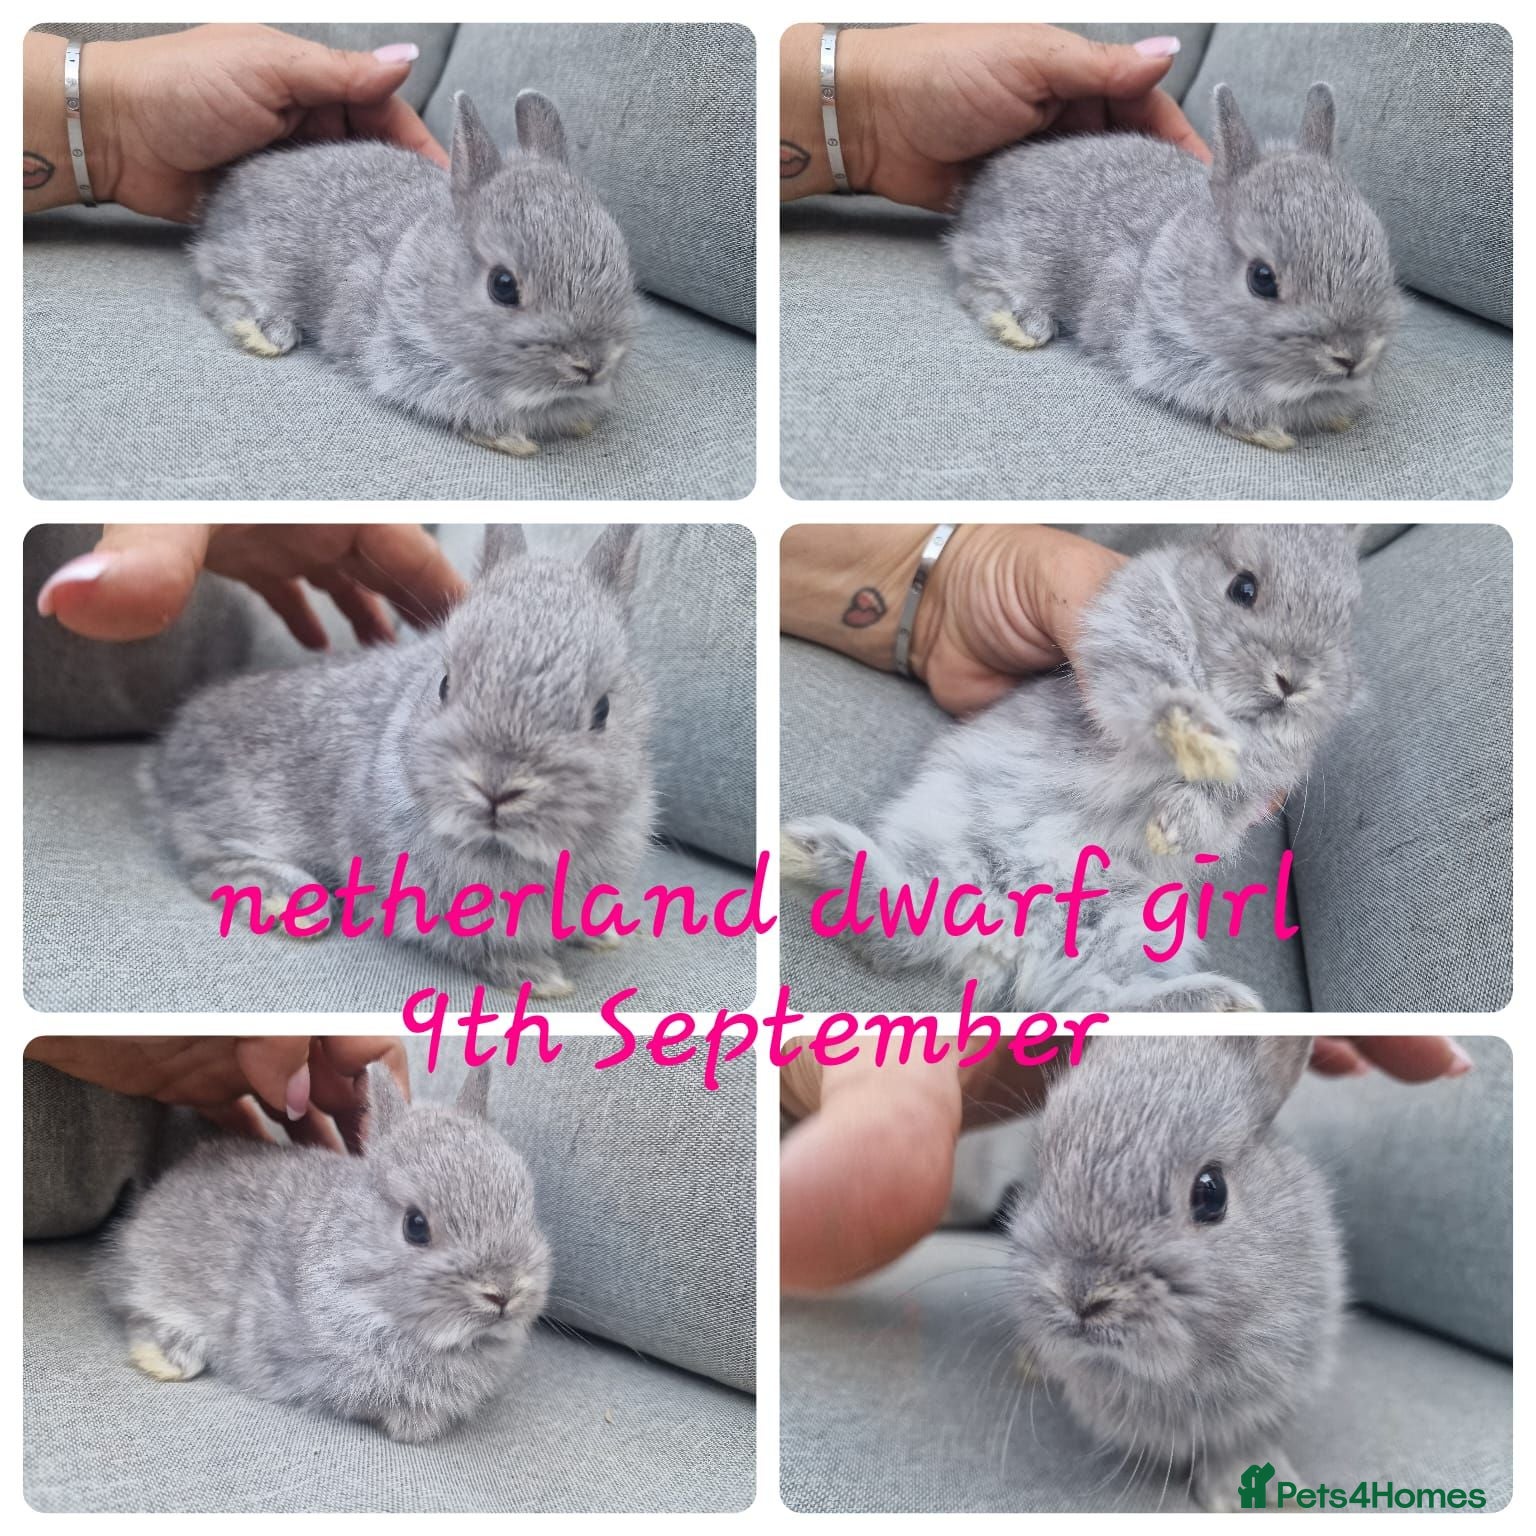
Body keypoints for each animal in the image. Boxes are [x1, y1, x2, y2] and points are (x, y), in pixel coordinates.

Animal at [144, 524, 654, 999]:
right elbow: (483, 949)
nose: (496, 786)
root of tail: (165, 755)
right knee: (205, 863)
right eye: (444, 685)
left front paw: (601, 936)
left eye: (603, 711)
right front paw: (542, 979)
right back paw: (288, 902)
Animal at [190, 91, 636, 457]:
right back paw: (264, 333)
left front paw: (579, 422)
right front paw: (510, 440)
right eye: (503, 286)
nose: (591, 364)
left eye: (622, 262)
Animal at [782, 525, 1362, 1013]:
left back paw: (1223, 1004)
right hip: (947, 839)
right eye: (1244, 589)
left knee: (1103, 1003)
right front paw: (1192, 731)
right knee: (904, 923)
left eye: (1346, 620)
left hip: (1126, 924)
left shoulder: (1261, 782)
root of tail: (1002, 940)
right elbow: (1152, 695)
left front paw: (1174, 827)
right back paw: (810, 852)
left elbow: (1217, 804)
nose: (1293, 682)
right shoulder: (1126, 655)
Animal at [947, 83, 1402, 450]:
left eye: (1381, 254)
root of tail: (986, 181)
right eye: (1262, 279)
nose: (1351, 356)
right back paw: (1021, 326)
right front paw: (1266, 433)